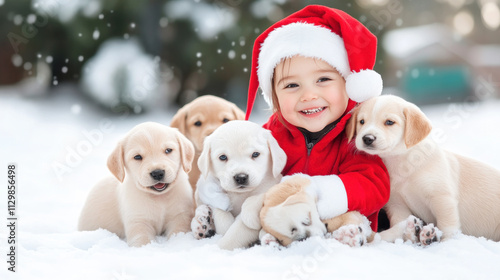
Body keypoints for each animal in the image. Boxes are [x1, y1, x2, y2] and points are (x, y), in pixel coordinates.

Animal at [190, 120, 286, 249]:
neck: (239, 194)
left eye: (255, 154)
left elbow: (236, 232)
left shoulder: (270, 184)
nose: (241, 177)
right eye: (223, 157)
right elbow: (219, 207)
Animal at [346, 94, 500, 243]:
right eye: (362, 121)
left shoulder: (441, 197)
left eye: (389, 122)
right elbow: (399, 225)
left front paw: (446, 243)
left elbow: (447, 225)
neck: (402, 162)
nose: (367, 138)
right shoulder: (397, 205)